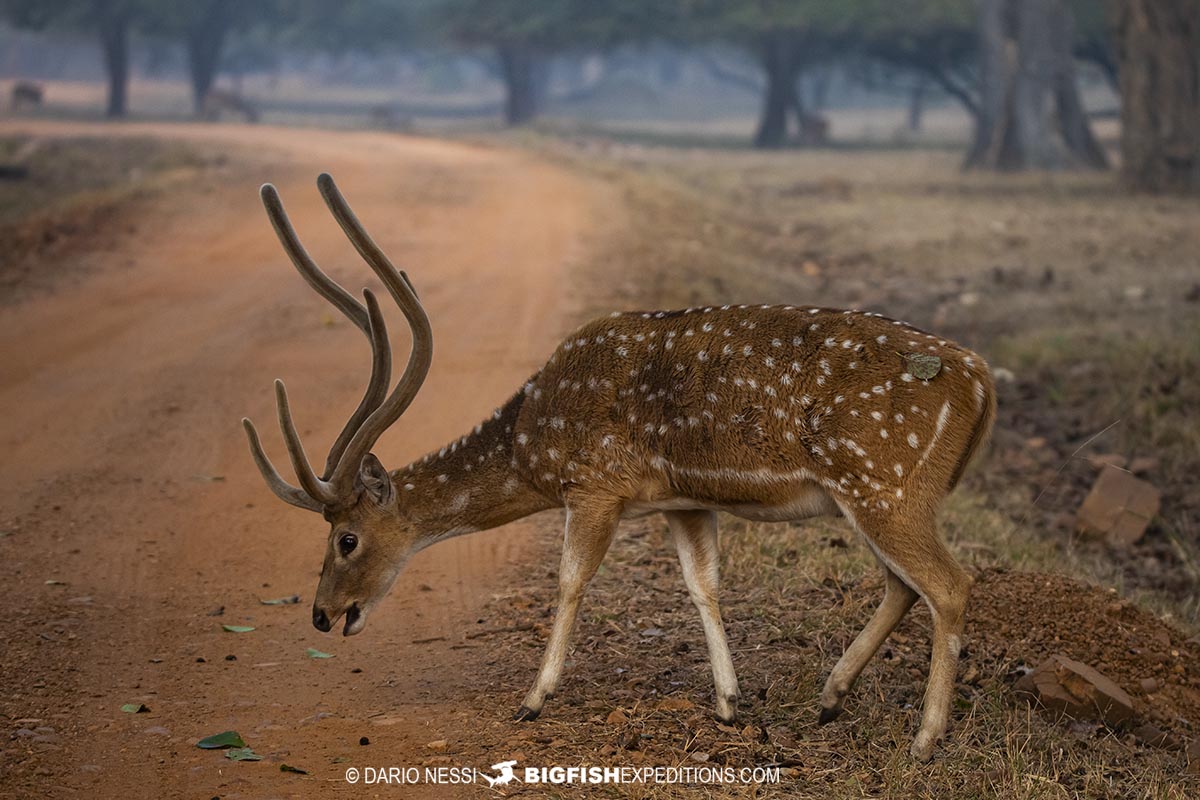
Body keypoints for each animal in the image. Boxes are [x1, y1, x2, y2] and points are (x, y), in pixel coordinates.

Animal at [243, 174, 997, 761]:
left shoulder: (594, 485)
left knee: (950, 583)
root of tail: (982, 380)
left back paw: (925, 739)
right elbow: (703, 585)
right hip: (879, 493)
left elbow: (571, 580)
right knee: (904, 584)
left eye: (346, 538)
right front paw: (729, 703)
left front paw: (533, 698)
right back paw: (831, 698)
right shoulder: (684, 500)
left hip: (883, 482)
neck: (531, 440)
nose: (321, 614)